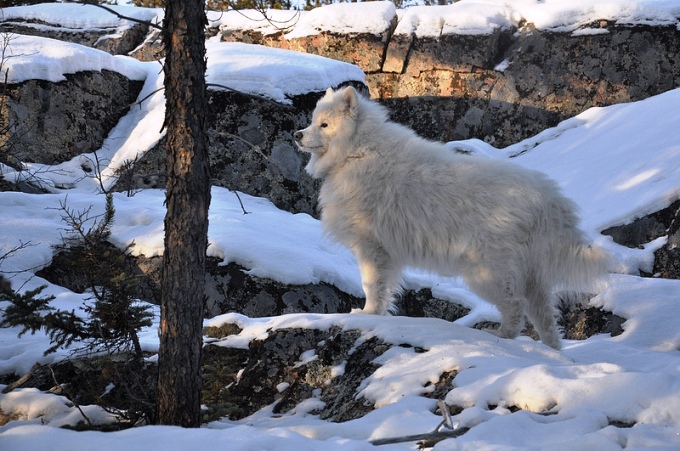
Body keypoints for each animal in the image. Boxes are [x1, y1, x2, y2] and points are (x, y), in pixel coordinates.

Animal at [294, 87, 612, 350]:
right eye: (313, 120)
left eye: (324, 124)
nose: (297, 135)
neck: (356, 151)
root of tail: (547, 198)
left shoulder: (371, 245)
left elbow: (372, 285)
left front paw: (368, 314)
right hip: (530, 272)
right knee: (544, 317)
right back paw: (552, 351)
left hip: (488, 270)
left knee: (515, 306)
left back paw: (500, 335)